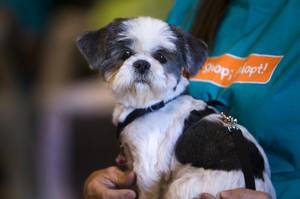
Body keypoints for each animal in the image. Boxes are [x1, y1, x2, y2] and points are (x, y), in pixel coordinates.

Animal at [76, 16, 276, 198]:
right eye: (125, 54)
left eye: (161, 57)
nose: (142, 63)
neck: (150, 105)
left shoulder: (148, 169)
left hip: (182, 187)